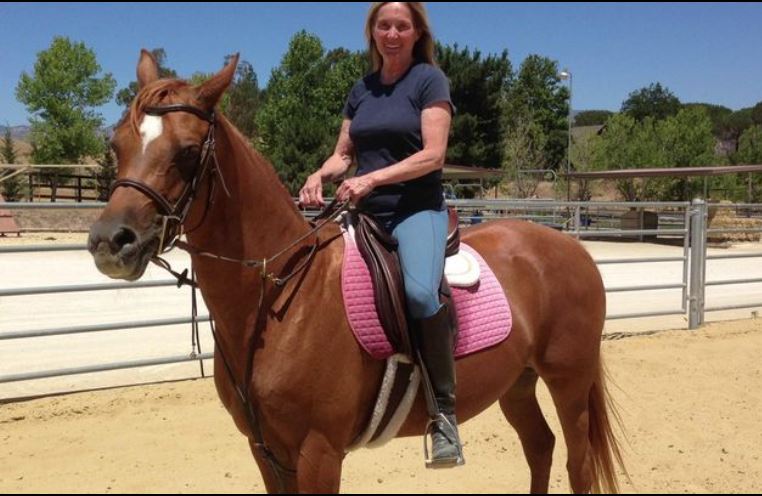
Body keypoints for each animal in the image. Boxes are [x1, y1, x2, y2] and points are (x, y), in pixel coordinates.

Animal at [88, 50, 626, 493]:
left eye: (186, 151)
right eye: (117, 144)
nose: (110, 241)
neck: (279, 297)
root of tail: (570, 247)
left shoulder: (319, 453)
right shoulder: (267, 453)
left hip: (569, 383)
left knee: (577, 465)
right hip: (517, 382)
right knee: (540, 447)